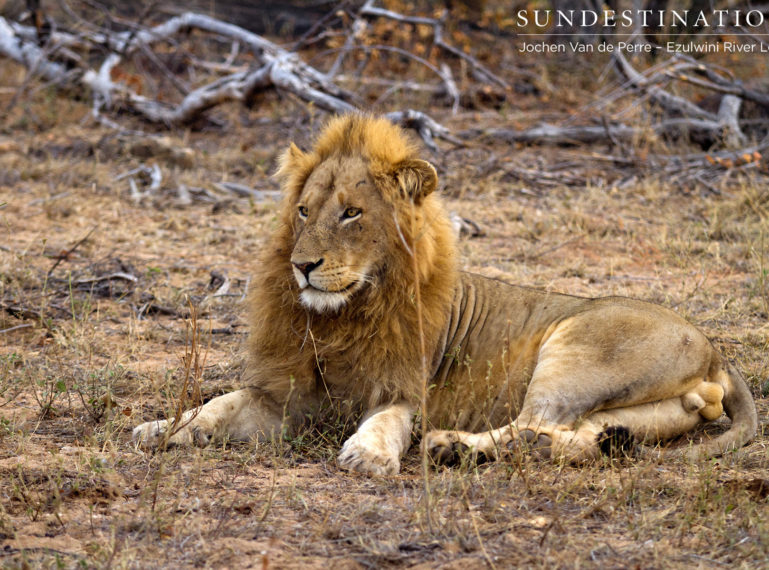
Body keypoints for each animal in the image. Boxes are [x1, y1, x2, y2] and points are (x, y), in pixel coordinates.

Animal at [134, 113, 756, 472]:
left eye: (352, 213)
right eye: (305, 211)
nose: (303, 266)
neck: (341, 316)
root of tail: (713, 348)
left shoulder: (405, 386)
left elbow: (387, 420)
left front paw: (368, 454)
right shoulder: (286, 398)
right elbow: (218, 404)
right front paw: (163, 429)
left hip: (575, 351)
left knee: (534, 421)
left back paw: (448, 447)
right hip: (651, 409)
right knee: (572, 435)